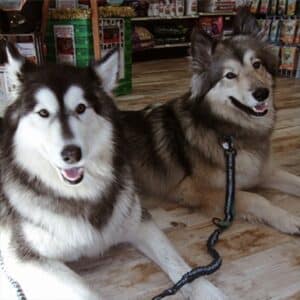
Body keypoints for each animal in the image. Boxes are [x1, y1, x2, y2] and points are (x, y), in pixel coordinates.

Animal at [0, 42, 225, 300]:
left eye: (81, 108)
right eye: (43, 113)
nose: (71, 154)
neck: (81, 195)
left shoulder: (138, 222)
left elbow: (179, 264)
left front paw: (207, 291)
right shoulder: (26, 258)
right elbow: (86, 292)